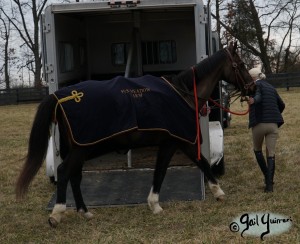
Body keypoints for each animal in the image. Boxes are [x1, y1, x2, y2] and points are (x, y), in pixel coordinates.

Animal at [15, 42, 254, 227]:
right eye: (241, 65)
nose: (252, 88)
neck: (183, 93)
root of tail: (61, 97)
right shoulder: (178, 142)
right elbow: (189, 165)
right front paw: (216, 192)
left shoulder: (172, 143)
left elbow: (169, 169)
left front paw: (156, 204)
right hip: (82, 149)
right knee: (64, 172)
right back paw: (57, 214)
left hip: (80, 149)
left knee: (75, 176)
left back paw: (85, 211)